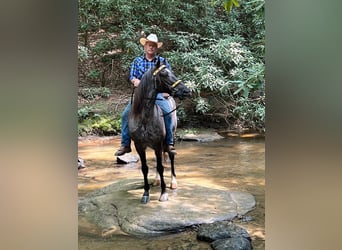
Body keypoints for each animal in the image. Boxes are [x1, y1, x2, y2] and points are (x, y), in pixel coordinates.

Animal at [129, 58, 191, 203]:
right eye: (164, 74)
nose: (186, 91)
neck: (145, 117)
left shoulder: (158, 144)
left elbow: (161, 167)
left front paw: (163, 194)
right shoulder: (140, 146)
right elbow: (145, 168)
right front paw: (145, 193)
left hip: (170, 139)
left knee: (171, 157)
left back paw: (173, 182)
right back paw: (156, 180)